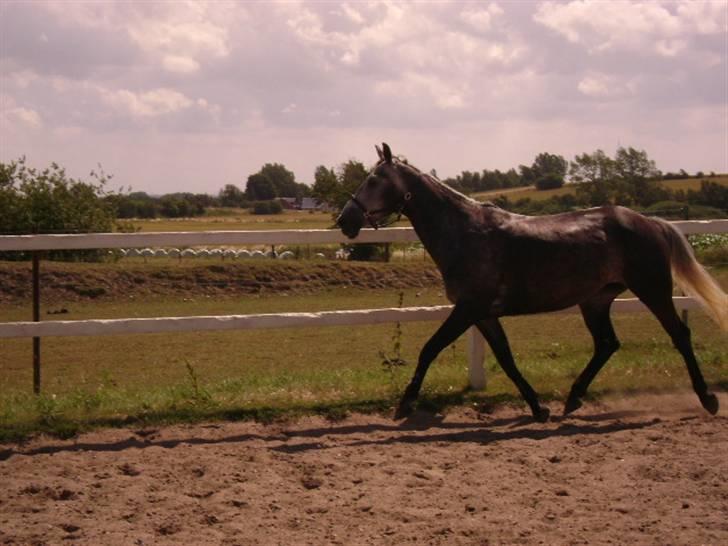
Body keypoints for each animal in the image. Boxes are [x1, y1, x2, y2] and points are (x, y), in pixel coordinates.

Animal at [336, 142, 728, 418]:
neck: (465, 232)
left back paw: (708, 399)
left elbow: (430, 348)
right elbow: (506, 359)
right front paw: (539, 408)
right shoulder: (483, 314)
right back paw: (573, 398)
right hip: (596, 300)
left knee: (679, 335)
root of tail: (650, 222)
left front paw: (405, 404)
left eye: (374, 180)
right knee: (607, 344)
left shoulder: (468, 309)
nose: (345, 220)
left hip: (653, 290)